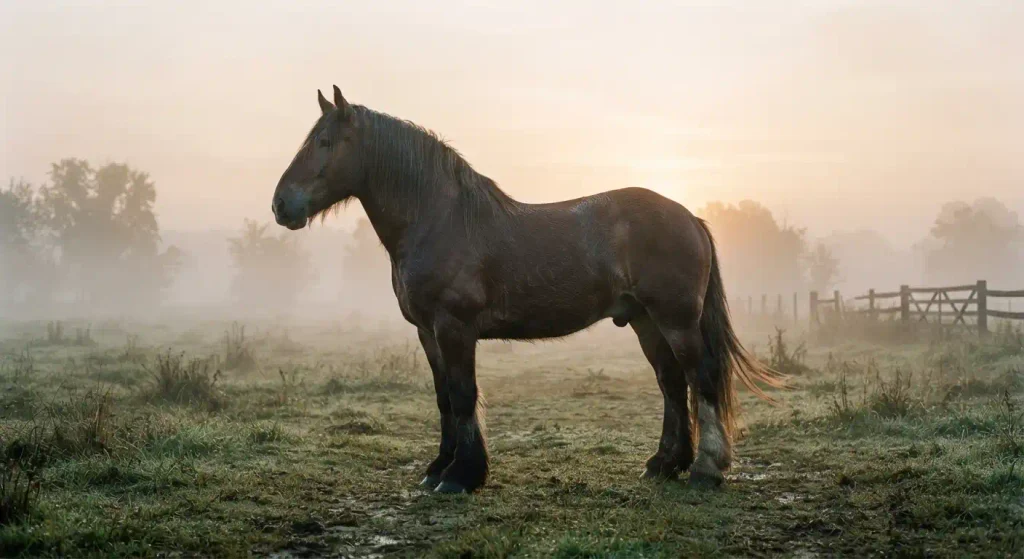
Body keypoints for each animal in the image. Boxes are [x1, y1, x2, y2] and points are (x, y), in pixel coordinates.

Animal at [271, 86, 783, 493]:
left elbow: (463, 395)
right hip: (644, 321)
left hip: (675, 320)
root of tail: (689, 217)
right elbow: (442, 397)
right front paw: (438, 468)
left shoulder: (454, 327)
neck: (439, 219)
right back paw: (664, 464)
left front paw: (462, 476)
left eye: (324, 142)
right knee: (672, 384)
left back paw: (706, 469)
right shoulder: (426, 332)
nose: (280, 205)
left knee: (702, 377)